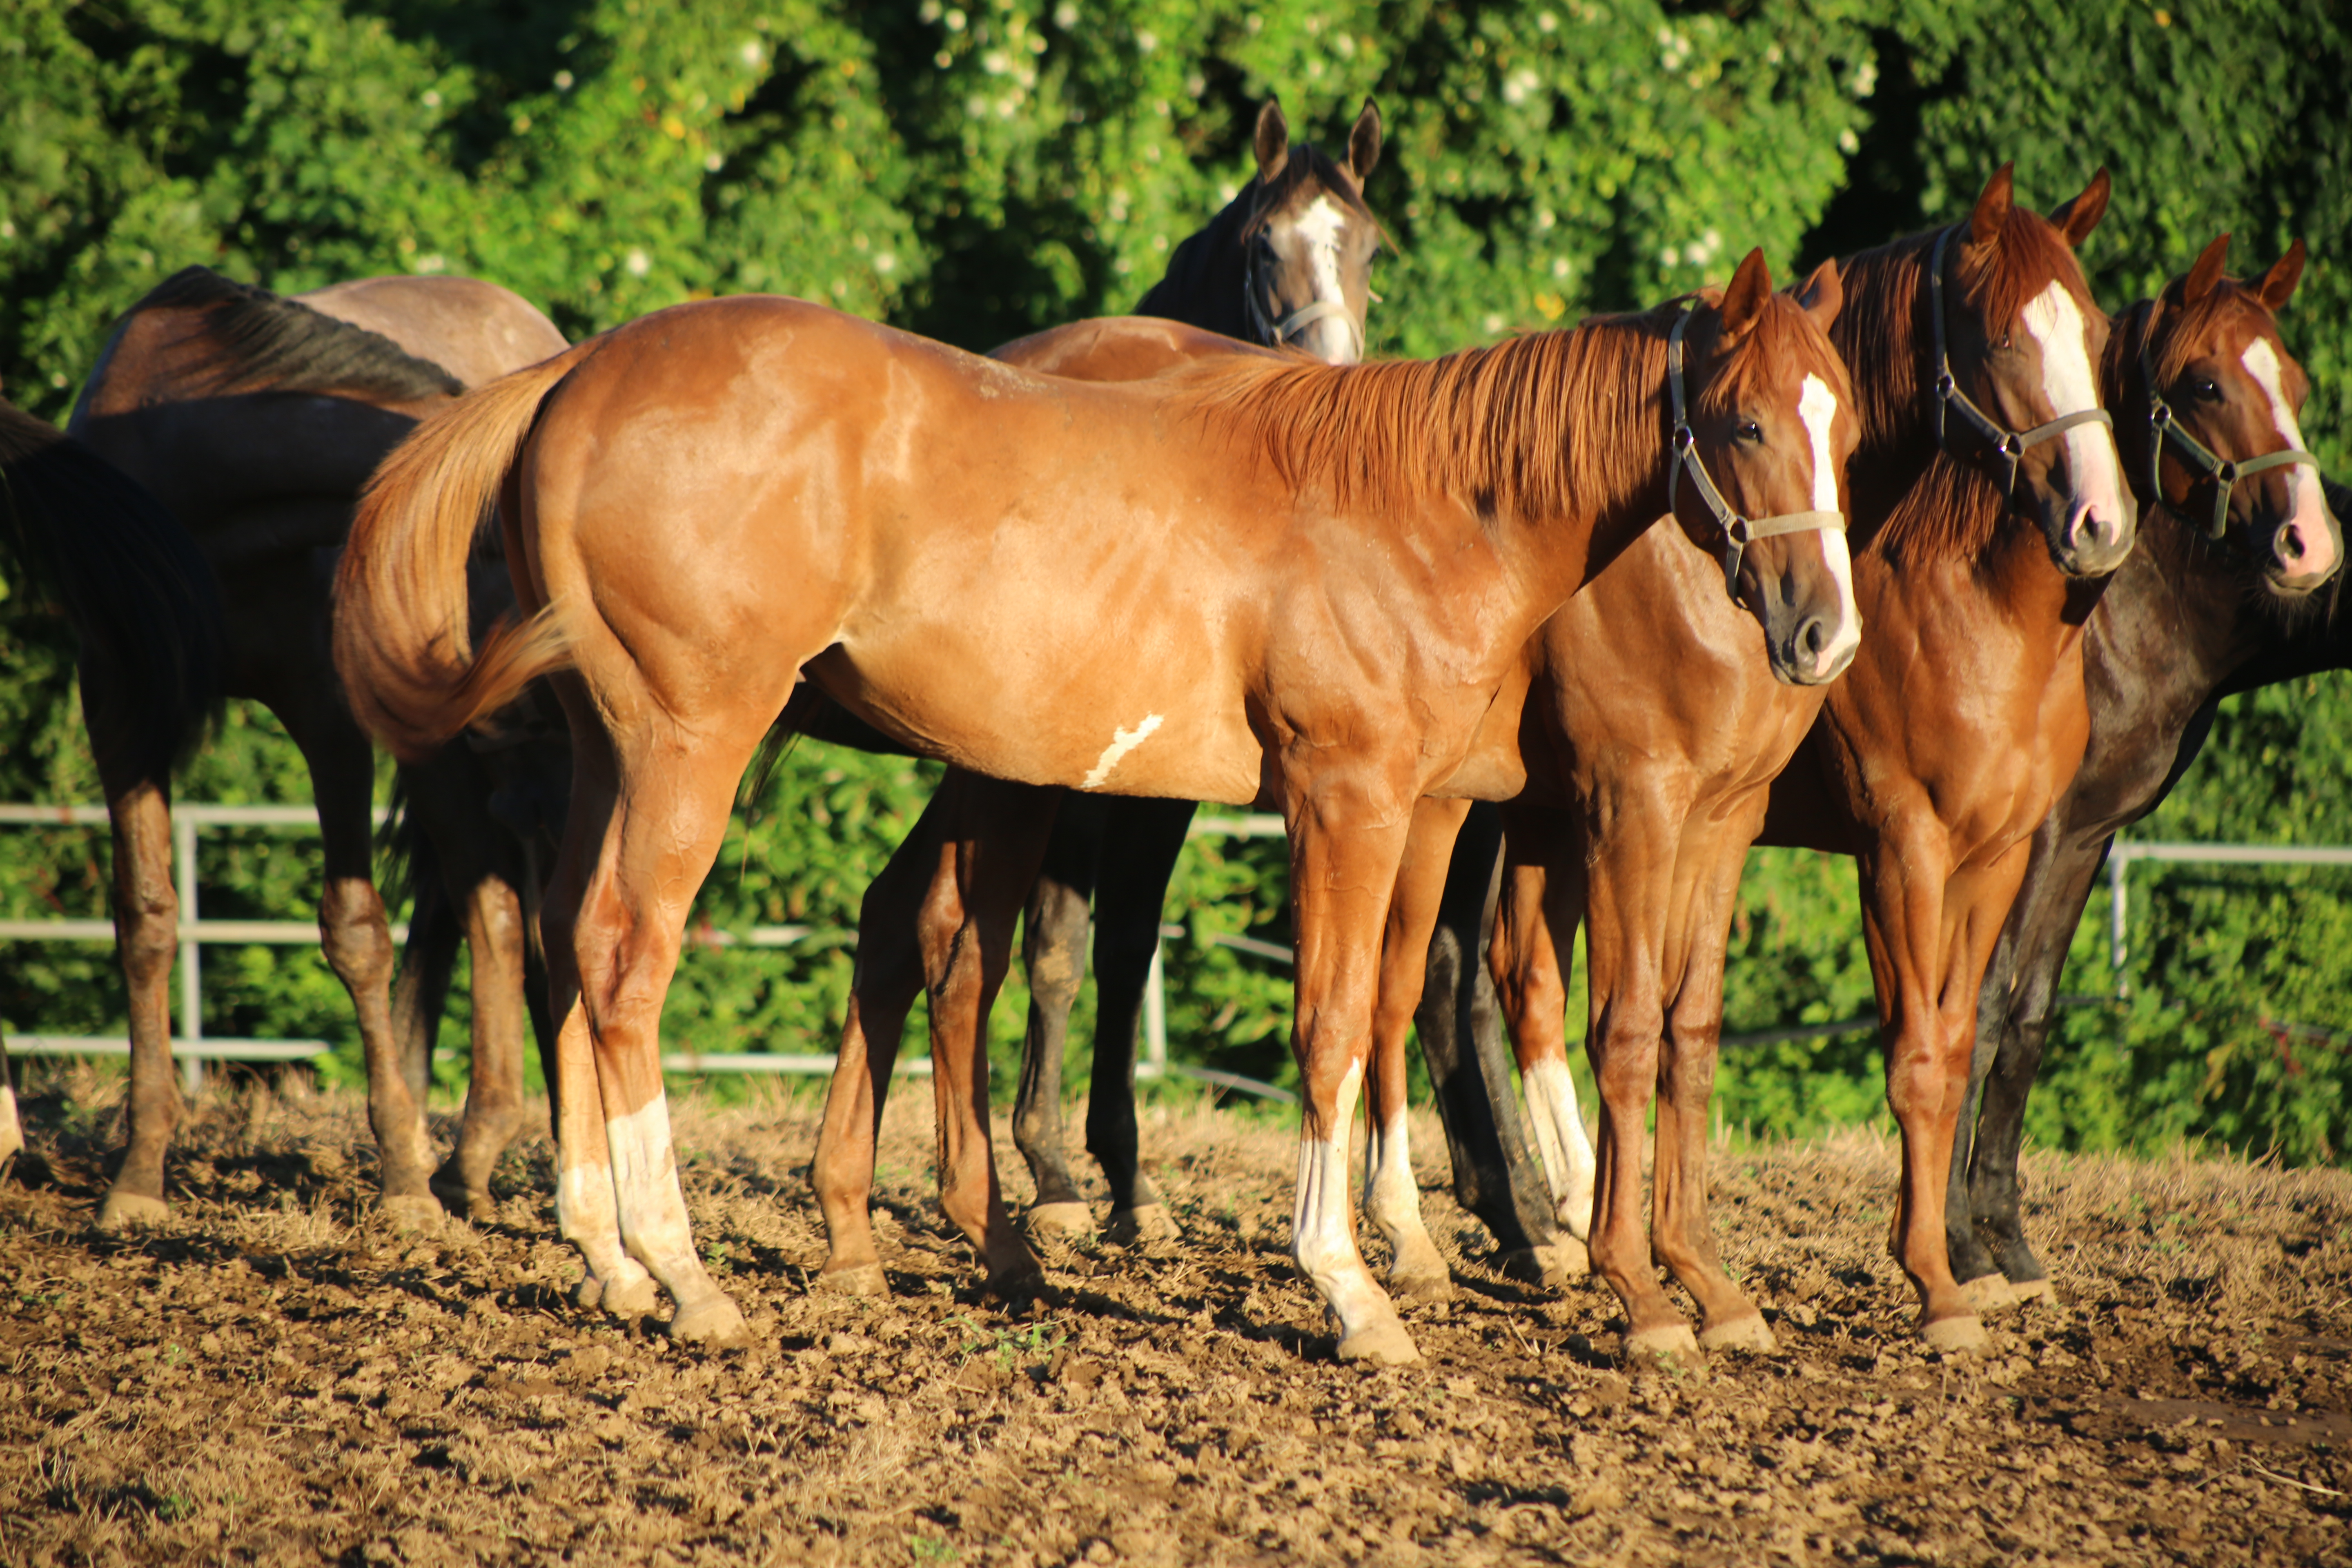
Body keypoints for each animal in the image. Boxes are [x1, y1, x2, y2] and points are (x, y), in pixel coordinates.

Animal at [67, 267, 564, 1222]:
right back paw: (486, 1154)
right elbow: (146, 920)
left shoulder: (326, 708)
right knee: (502, 911)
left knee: (495, 915)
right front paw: (138, 1177)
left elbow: (357, 929)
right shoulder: (121, 702)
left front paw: (404, 1180)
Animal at [336, 248, 1853, 1363]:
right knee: (625, 958)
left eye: (1845, 426)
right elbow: (1339, 1025)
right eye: (1748, 422)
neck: (1418, 505)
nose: (1821, 634)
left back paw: (617, 1254)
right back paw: (683, 1268)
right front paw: (1359, 1288)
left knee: (579, 941)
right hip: (692, 738)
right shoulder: (1359, 801)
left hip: (626, 748)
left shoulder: (1436, 811)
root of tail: (576, 374)